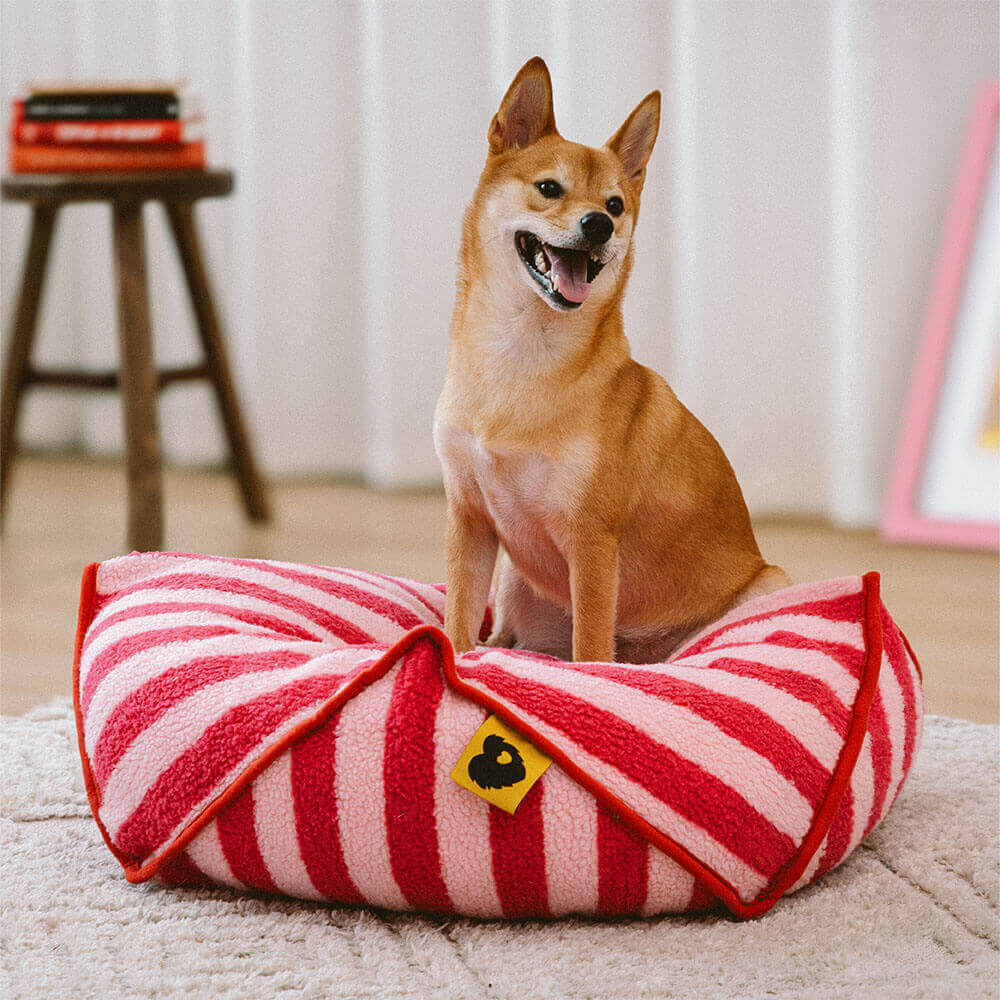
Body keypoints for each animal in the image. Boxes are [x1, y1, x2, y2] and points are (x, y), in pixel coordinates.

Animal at [434, 56, 792, 664]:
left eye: (615, 206)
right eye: (548, 188)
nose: (597, 224)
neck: (519, 356)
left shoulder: (592, 540)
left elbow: (592, 647)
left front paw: (590, 678)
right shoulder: (469, 518)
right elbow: (458, 623)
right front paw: (452, 660)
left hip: (767, 584)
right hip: (516, 583)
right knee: (501, 637)